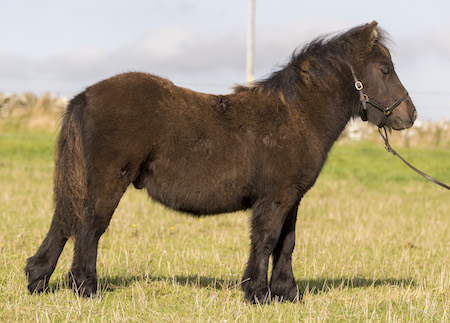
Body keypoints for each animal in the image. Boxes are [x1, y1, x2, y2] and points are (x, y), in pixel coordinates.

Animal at [25, 22, 418, 304]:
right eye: (385, 69)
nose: (410, 116)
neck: (297, 116)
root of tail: (85, 96)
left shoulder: (292, 198)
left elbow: (286, 242)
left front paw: (287, 292)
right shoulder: (275, 197)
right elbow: (266, 239)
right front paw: (257, 293)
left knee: (65, 222)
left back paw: (38, 279)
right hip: (109, 181)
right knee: (89, 227)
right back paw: (85, 288)